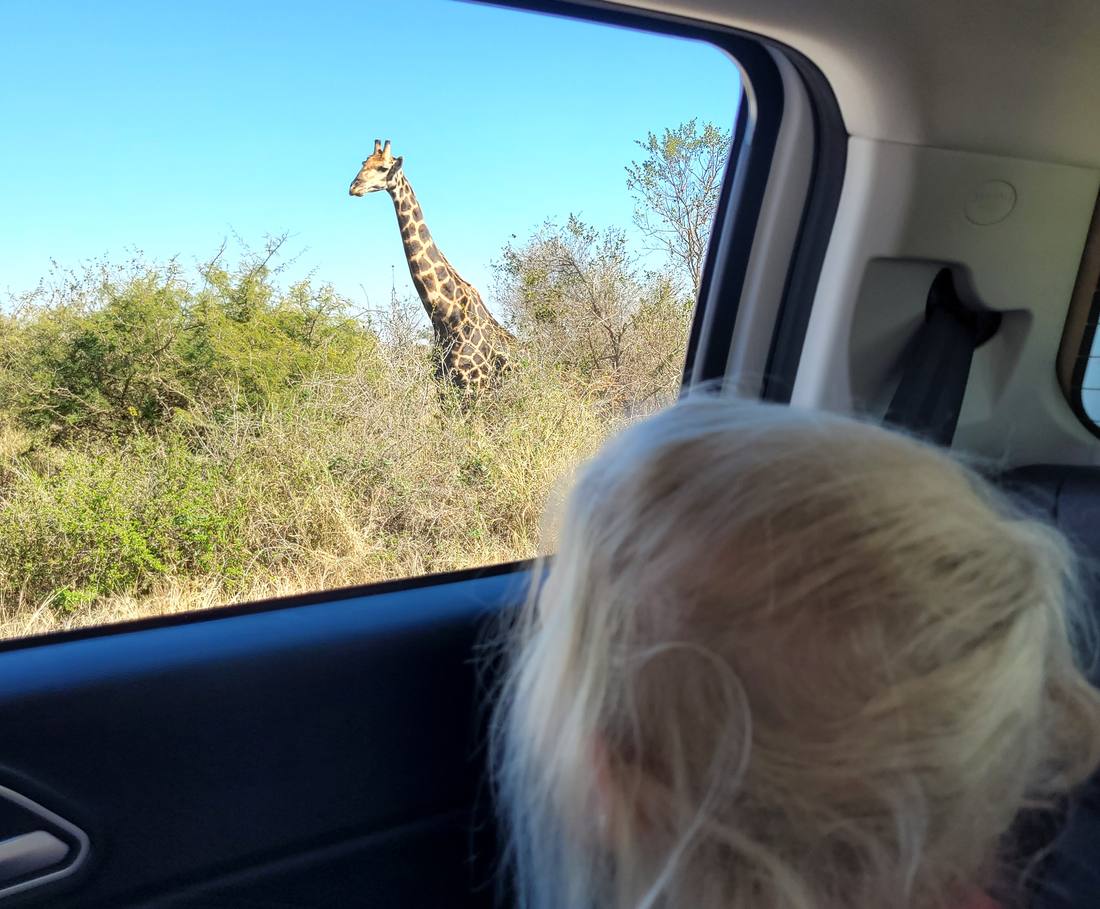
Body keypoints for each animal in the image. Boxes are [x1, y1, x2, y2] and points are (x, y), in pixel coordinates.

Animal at [349, 139, 512, 391]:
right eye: (363, 163)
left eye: (383, 168)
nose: (354, 187)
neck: (447, 320)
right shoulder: (442, 385)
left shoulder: (475, 385)